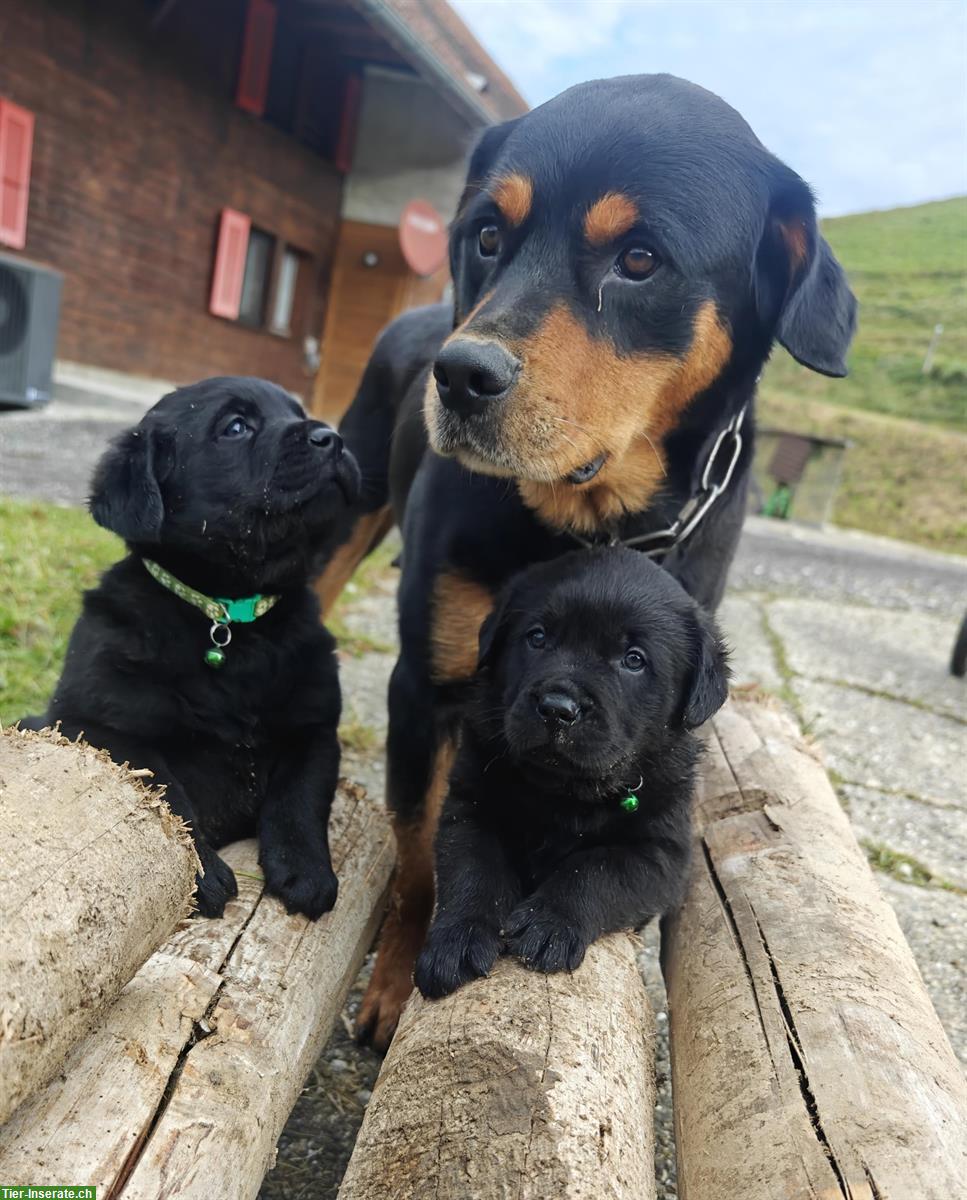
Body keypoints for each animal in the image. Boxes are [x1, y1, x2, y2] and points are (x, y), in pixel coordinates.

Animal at [23, 374, 364, 916]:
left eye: (296, 411)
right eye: (236, 427)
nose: (332, 438)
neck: (228, 615)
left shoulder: (313, 728)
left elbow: (302, 795)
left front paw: (306, 870)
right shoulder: (94, 724)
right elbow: (163, 788)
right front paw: (202, 873)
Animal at [415, 549, 729, 998]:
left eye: (634, 660)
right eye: (538, 637)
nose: (557, 708)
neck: (564, 792)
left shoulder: (661, 854)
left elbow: (596, 869)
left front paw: (549, 924)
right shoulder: (470, 808)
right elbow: (475, 869)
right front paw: (456, 940)